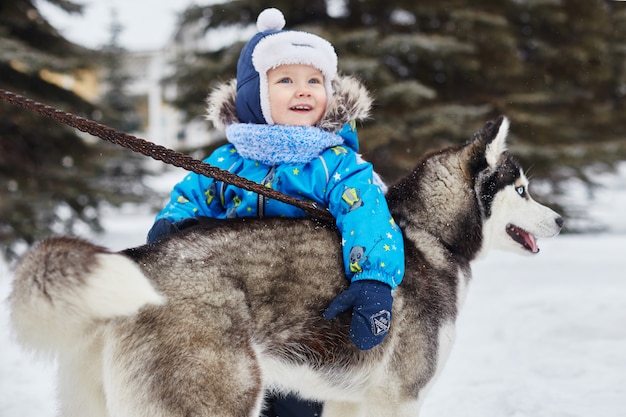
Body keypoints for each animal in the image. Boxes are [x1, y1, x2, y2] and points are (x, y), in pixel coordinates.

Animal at [8, 116, 560, 416]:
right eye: (522, 190)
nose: (560, 219)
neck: (427, 233)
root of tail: (140, 259)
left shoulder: (349, 400)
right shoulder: (398, 397)